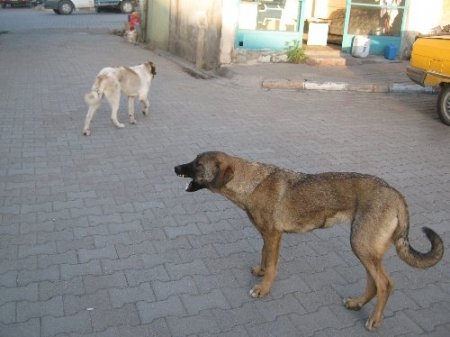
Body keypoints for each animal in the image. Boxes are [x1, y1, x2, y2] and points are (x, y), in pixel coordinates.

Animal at [174, 151, 444, 330]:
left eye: (197, 164)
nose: (175, 167)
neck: (252, 182)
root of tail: (395, 194)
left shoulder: (273, 235)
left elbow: (272, 266)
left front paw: (263, 288)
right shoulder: (268, 236)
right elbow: (264, 257)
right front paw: (260, 271)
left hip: (361, 246)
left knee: (385, 284)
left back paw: (374, 320)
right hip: (365, 249)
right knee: (374, 284)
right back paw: (356, 304)